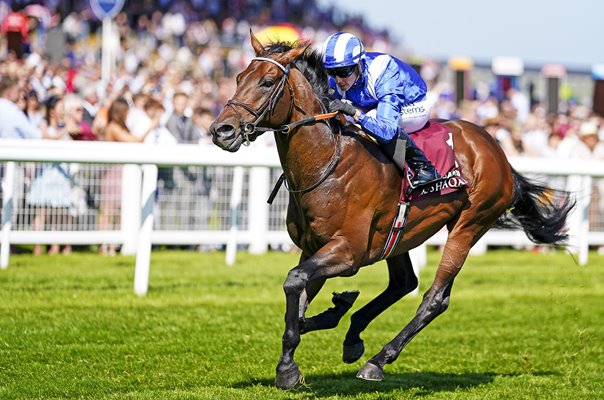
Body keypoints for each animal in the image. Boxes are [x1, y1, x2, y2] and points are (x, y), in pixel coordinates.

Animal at [210, 32, 572, 390]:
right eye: (239, 78)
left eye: (268, 82)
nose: (221, 130)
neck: (326, 162)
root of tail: (497, 151)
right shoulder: (313, 248)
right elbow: (296, 303)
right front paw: (321, 328)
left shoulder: (348, 252)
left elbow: (293, 282)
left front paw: (288, 367)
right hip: (401, 235)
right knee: (404, 283)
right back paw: (354, 335)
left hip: (469, 224)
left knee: (434, 298)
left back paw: (377, 360)